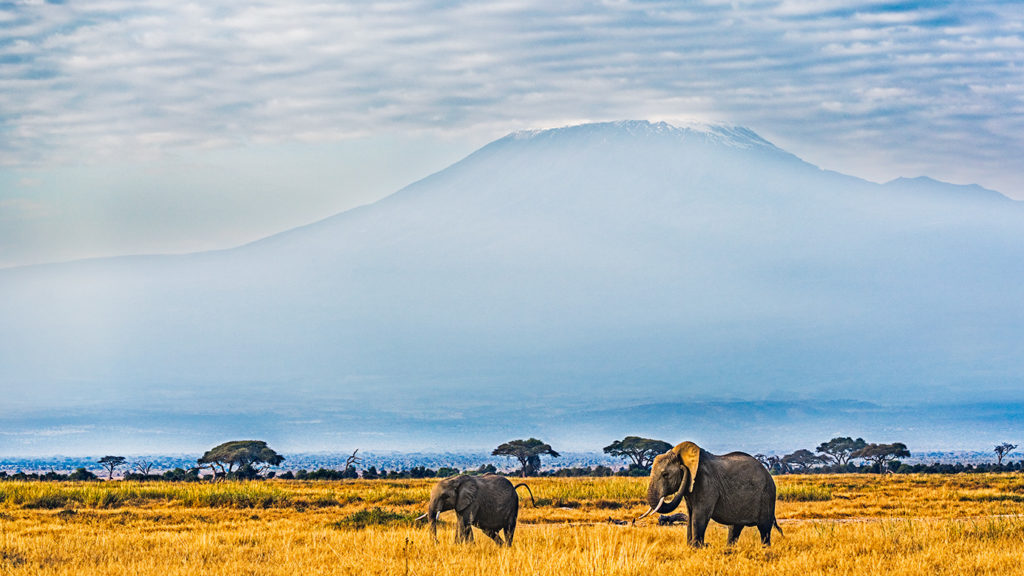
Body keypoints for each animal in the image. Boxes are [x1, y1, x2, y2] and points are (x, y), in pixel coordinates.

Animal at [630, 438, 782, 541]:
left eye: (665, 474)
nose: (635, 519)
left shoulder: (706, 483)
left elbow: (699, 516)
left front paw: (697, 547)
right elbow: (690, 515)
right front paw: (691, 547)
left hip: (767, 495)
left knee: (764, 530)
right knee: (735, 528)